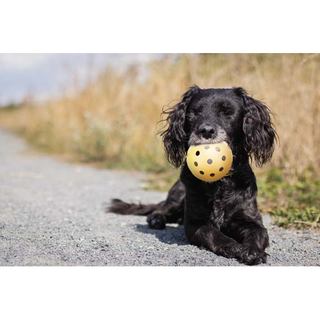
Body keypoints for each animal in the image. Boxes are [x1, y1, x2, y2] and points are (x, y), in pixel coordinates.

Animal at [108, 85, 278, 264]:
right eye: (194, 113)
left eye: (227, 112)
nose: (206, 130)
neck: (219, 183)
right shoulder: (194, 223)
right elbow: (212, 233)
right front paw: (232, 246)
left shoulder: (252, 220)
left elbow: (257, 234)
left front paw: (253, 251)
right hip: (178, 193)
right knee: (161, 209)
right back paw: (156, 219)